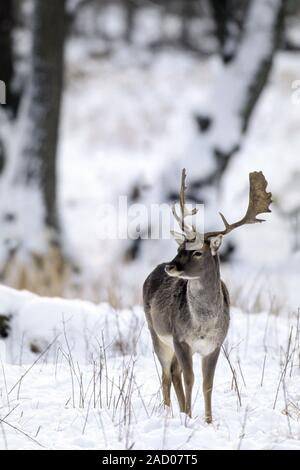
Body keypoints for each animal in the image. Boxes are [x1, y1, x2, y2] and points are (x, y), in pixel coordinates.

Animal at [143, 169, 272, 422]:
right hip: (156, 333)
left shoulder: (215, 344)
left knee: (173, 372)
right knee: (166, 374)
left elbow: (207, 384)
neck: (203, 325)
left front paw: (208, 421)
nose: (171, 266)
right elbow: (190, 379)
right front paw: (189, 418)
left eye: (197, 253)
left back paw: (178, 411)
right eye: (179, 249)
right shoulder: (181, 339)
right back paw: (170, 413)